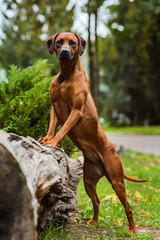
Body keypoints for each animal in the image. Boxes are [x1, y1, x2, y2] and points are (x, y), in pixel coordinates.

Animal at [38, 32, 146, 232]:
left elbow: (62, 130)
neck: (67, 74)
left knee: (127, 206)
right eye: (59, 42)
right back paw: (94, 221)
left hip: (116, 180)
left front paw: (53, 143)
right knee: (96, 201)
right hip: (88, 181)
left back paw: (132, 229)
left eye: (73, 43)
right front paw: (47, 138)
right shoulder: (54, 106)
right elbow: (52, 126)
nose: (65, 52)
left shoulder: (76, 110)